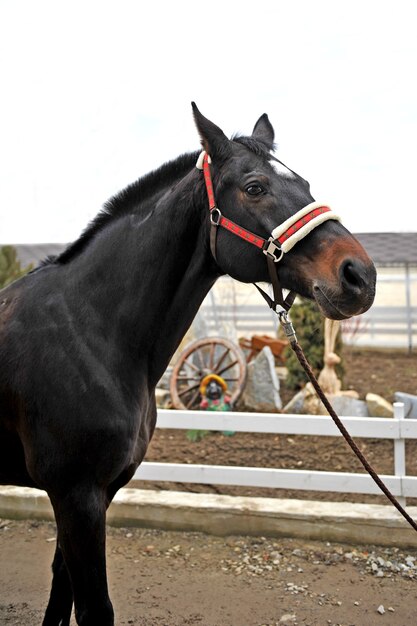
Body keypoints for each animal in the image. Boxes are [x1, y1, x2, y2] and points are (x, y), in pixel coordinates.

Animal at [0, 105, 376, 620]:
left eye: (306, 185)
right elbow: (93, 607)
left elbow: (62, 594)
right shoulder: (76, 495)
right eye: (254, 187)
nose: (360, 276)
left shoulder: (91, 495)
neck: (88, 328)